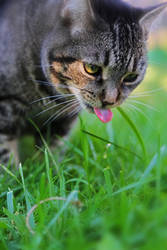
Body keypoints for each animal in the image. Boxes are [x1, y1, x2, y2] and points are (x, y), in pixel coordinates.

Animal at [0, 0, 166, 165]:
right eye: (91, 68)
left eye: (131, 77)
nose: (109, 100)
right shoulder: (6, 106)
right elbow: (7, 157)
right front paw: (14, 172)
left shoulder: (62, 123)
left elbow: (51, 155)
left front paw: (53, 169)